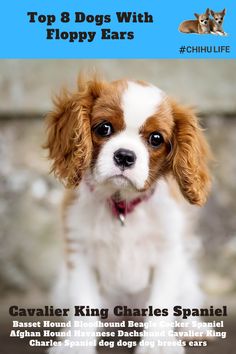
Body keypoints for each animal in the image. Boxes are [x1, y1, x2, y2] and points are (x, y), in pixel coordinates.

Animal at [44, 75, 212, 354]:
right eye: (104, 128)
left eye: (156, 138)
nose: (124, 156)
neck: (121, 204)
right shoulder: (80, 253)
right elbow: (83, 304)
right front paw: (76, 344)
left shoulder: (169, 255)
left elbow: (162, 305)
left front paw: (158, 344)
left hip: (187, 281)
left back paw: (192, 328)